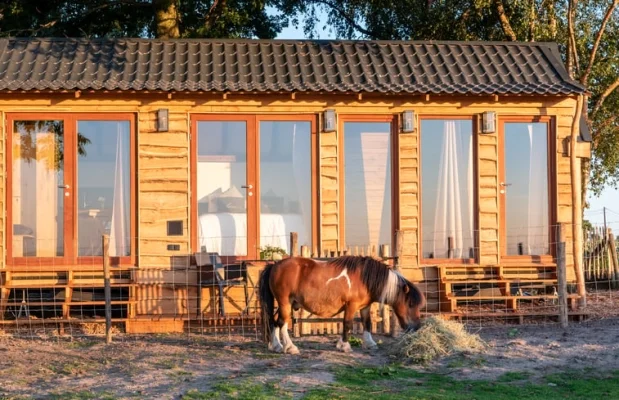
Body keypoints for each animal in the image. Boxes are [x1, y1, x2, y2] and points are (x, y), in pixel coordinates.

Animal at [258, 256, 426, 354]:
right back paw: (289, 347)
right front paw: (344, 345)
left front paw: (370, 343)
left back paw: (276, 346)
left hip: (285, 304)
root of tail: (274, 265)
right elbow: (347, 324)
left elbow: (367, 323)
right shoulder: (351, 305)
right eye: (411, 303)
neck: (365, 277)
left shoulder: (364, 307)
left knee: (274, 322)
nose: (417, 327)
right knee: (282, 323)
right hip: (285, 302)